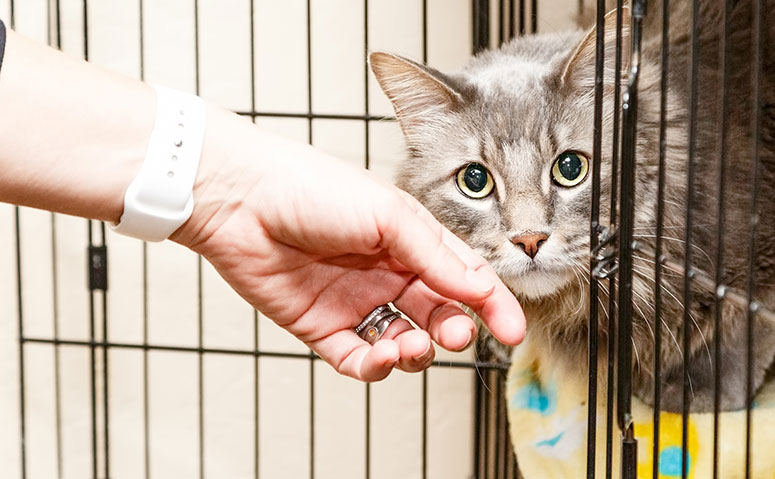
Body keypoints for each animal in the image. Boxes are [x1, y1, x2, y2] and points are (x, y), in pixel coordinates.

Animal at [370, 0, 775, 412]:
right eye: (475, 180)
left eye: (570, 168)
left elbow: (742, 328)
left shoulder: (759, 259)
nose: (530, 240)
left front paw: (695, 392)